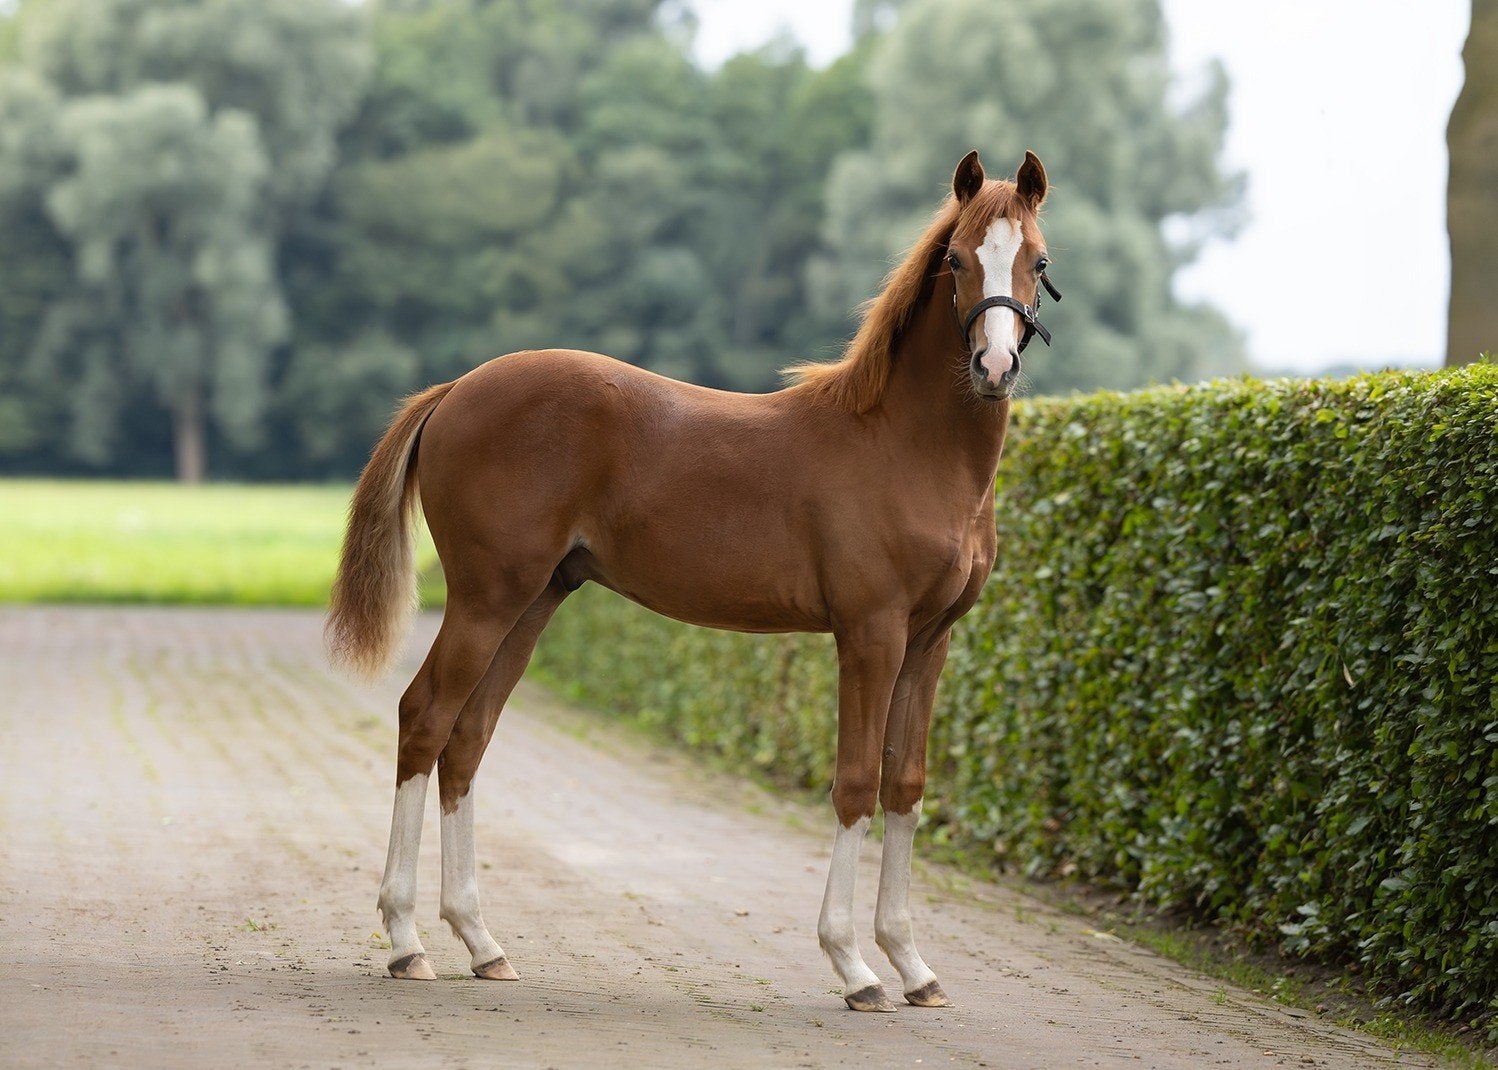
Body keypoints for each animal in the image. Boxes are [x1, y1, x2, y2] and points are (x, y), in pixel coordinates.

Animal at [327, 149, 1058, 1013]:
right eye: (956, 261)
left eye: (1038, 261)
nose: (994, 366)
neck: (908, 450)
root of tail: (454, 392)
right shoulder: (869, 633)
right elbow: (854, 783)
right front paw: (854, 967)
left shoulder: (930, 642)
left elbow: (905, 784)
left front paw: (914, 967)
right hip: (486, 599)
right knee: (426, 718)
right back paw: (407, 941)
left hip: (534, 601)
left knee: (468, 740)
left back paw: (481, 942)